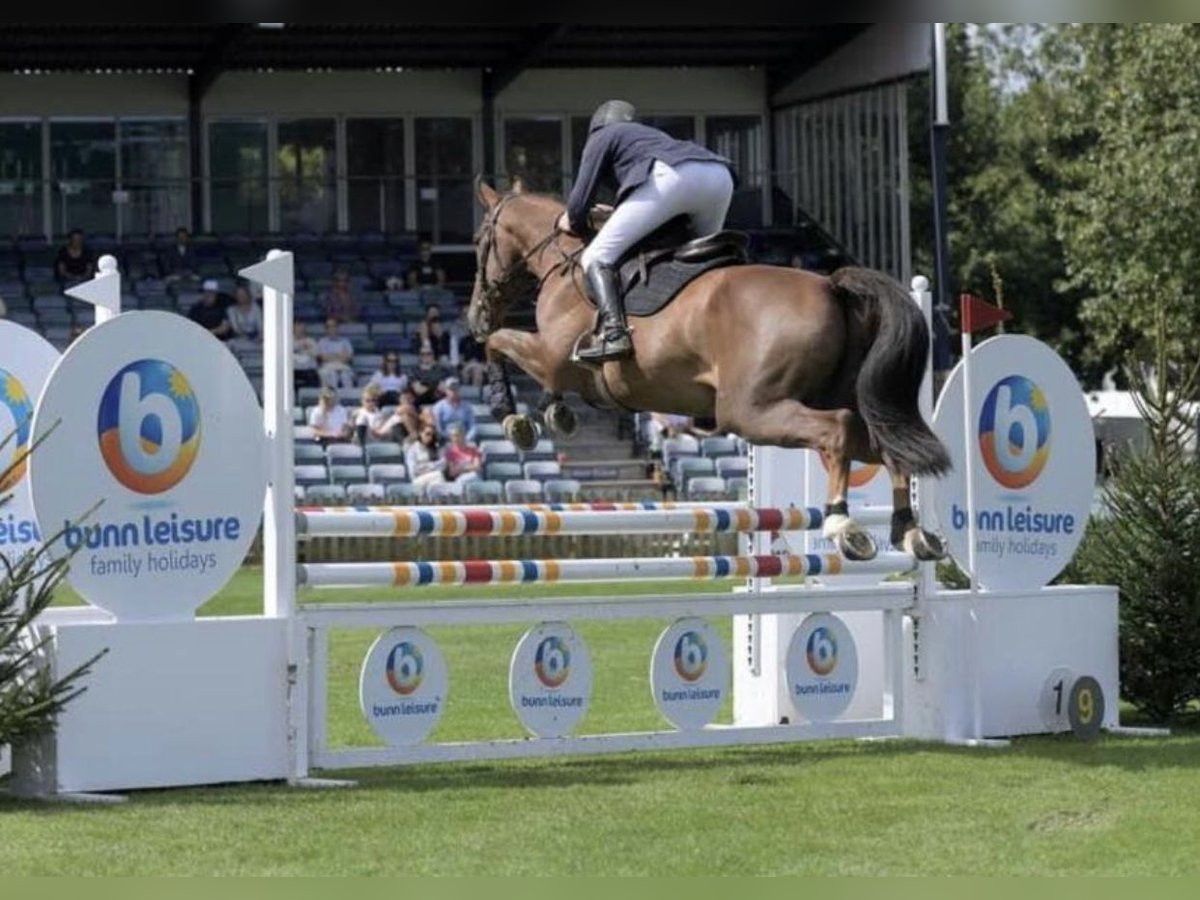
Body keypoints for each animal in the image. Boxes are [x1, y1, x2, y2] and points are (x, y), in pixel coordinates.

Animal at [465, 177, 945, 564]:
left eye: (479, 241)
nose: (474, 314)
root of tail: (831, 284)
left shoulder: (550, 356)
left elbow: (498, 344)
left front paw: (511, 416)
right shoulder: (564, 369)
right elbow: (523, 364)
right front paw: (554, 413)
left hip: (750, 411)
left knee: (838, 430)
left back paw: (843, 525)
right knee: (885, 443)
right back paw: (910, 531)